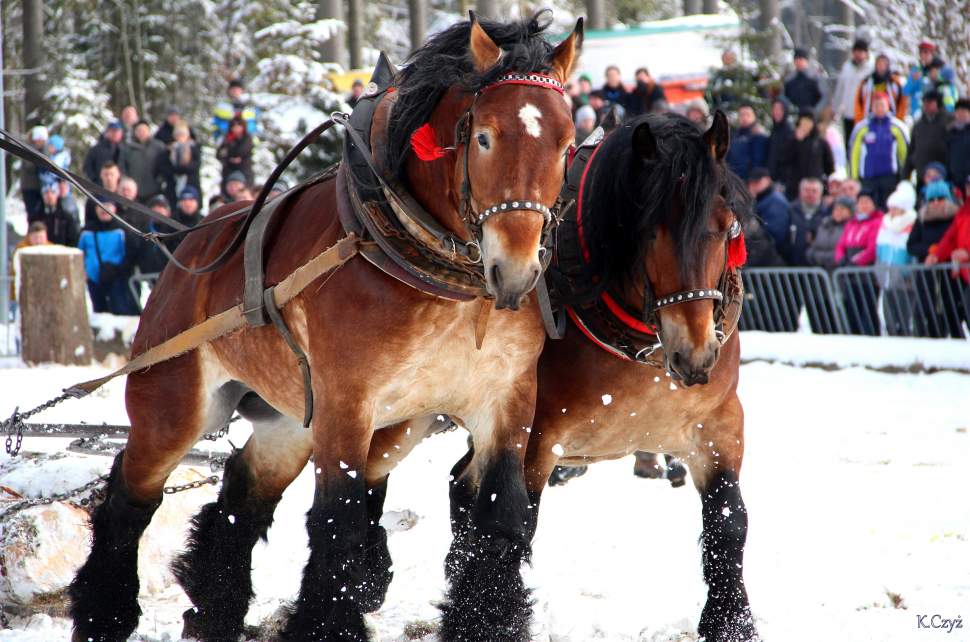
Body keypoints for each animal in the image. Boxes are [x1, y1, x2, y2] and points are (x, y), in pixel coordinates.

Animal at [70, 13, 584, 640]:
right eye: (484, 137)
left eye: (566, 144)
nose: (515, 271)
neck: (434, 273)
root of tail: (187, 244)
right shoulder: (348, 406)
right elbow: (340, 528)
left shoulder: (507, 400)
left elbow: (501, 522)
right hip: (175, 408)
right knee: (130, 497)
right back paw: (104, 612)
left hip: (290, 420)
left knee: (243, 494)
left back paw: (215, 606)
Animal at [354, 112, 756, 636]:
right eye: (648, 231)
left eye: (726, 229)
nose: (695, 352)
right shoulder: (536, 438)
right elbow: (513, 519)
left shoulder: (720, 428)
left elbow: (729, 522)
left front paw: (731, 622)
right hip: (408, 410)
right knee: (372, 466)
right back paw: (367, 574)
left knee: (459, 483)